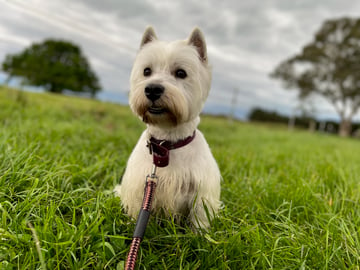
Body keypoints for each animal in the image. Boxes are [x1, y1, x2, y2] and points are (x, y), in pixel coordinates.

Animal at [116, 26, 222, 229]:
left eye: (181, 73)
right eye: (146, 71)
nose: (152, 89)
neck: (167, 142)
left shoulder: (202, 193)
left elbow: (199, 220)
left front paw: (199, 236)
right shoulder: (139, 189)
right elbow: (136, 213)